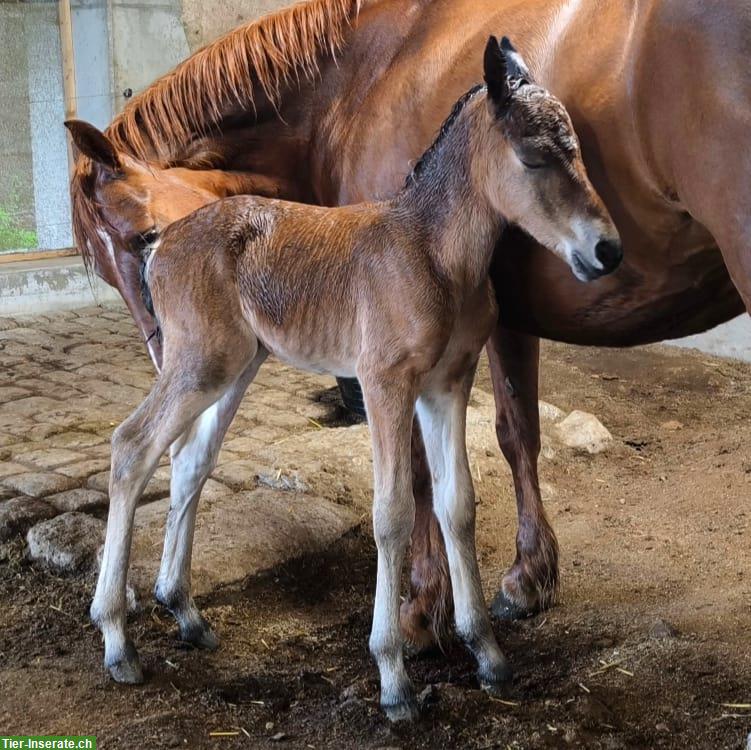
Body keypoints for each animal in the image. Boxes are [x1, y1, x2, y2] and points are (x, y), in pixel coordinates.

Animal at [92, 36, 624, 724]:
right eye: (533, 157)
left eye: (577, 149)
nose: (607, 250)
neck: (432, 252)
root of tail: (161, 243)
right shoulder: (383, 384)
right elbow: (393, 512)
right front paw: (394, 677)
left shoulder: (447, 384)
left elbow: (458, 504)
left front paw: (487, 654)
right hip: (197, 362)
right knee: (132, 447)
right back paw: (116, 642)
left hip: (233, 367)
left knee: (189, 462)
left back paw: (186, 614)